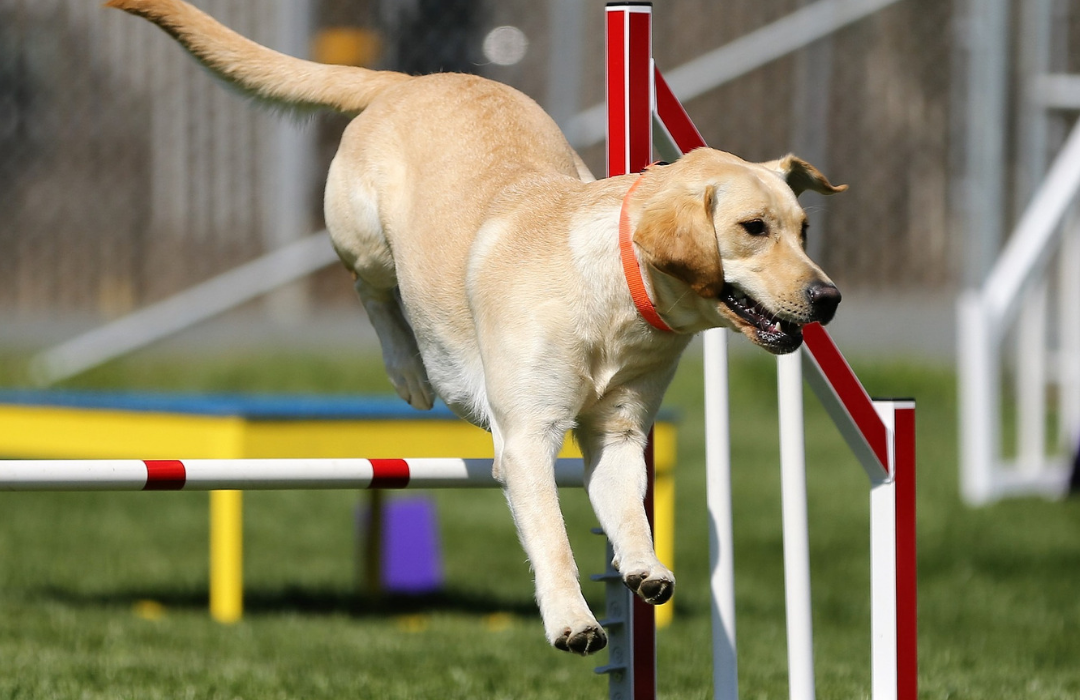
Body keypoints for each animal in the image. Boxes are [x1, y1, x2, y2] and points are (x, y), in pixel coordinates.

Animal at [107, 0, 845, 656]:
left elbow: (631, 514)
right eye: (753, 228)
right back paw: (408, 372)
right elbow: (552, 538)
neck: (615, 297)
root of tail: (411, 80)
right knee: (372, 291)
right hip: (364, 237)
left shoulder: (618, 434)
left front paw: (644, 568)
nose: (830, 296)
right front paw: (574, 621)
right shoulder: (526, 441)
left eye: (804, 230)